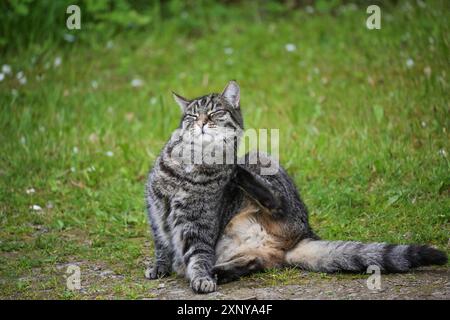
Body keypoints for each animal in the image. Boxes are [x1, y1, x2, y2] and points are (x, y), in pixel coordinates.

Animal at [146, 81, 448, 294]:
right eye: (191, 116)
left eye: (216, 112)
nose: (201, 123)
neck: (192, 163)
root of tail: (305, 234)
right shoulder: (155, 209)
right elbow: (162, 245)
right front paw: (161, 267)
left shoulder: (199, 221)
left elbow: (198, 254)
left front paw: (201, 278)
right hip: (248, 249)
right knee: (255, 262)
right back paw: (219, 271)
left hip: (260, 161)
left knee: (275, 202)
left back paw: (238, 175)